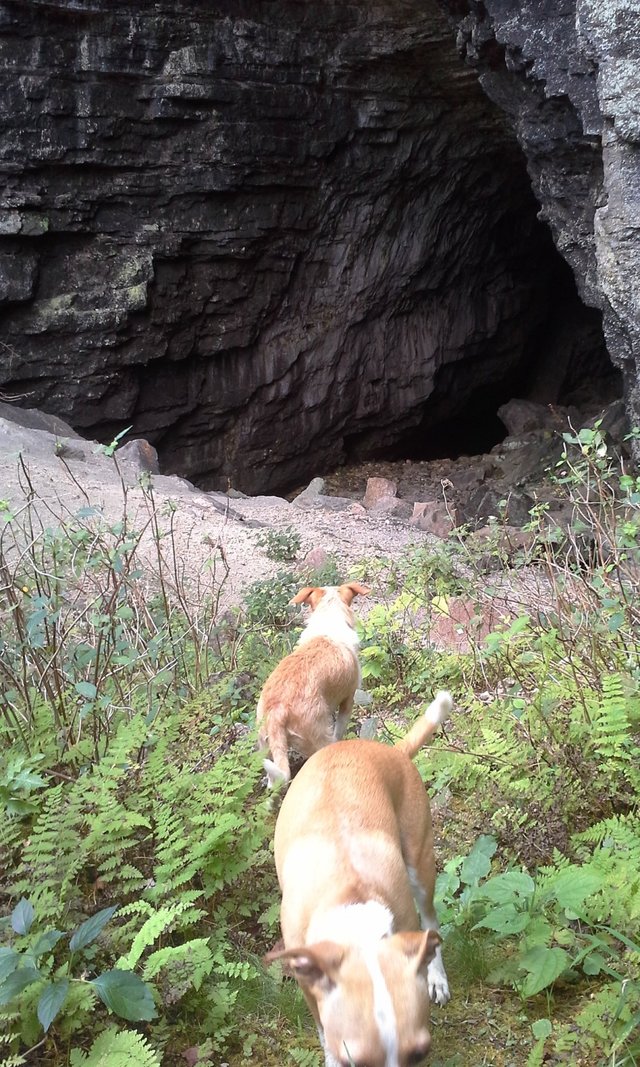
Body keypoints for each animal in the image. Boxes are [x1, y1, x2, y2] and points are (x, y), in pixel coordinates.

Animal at [257, 580, 369, 789]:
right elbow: (340, 727)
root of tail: (277, 709)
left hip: (265, 746)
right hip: (317, 739)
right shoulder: (348, 699)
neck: (329, 617)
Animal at [262, 691, 452, 1067]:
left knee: (431, 921)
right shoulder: (309, 984)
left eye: (420, 1053)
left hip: (420, 866)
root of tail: (392, 750)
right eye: (355, 1060)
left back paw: (436, 977)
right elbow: (323, 1030)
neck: (349, 899)